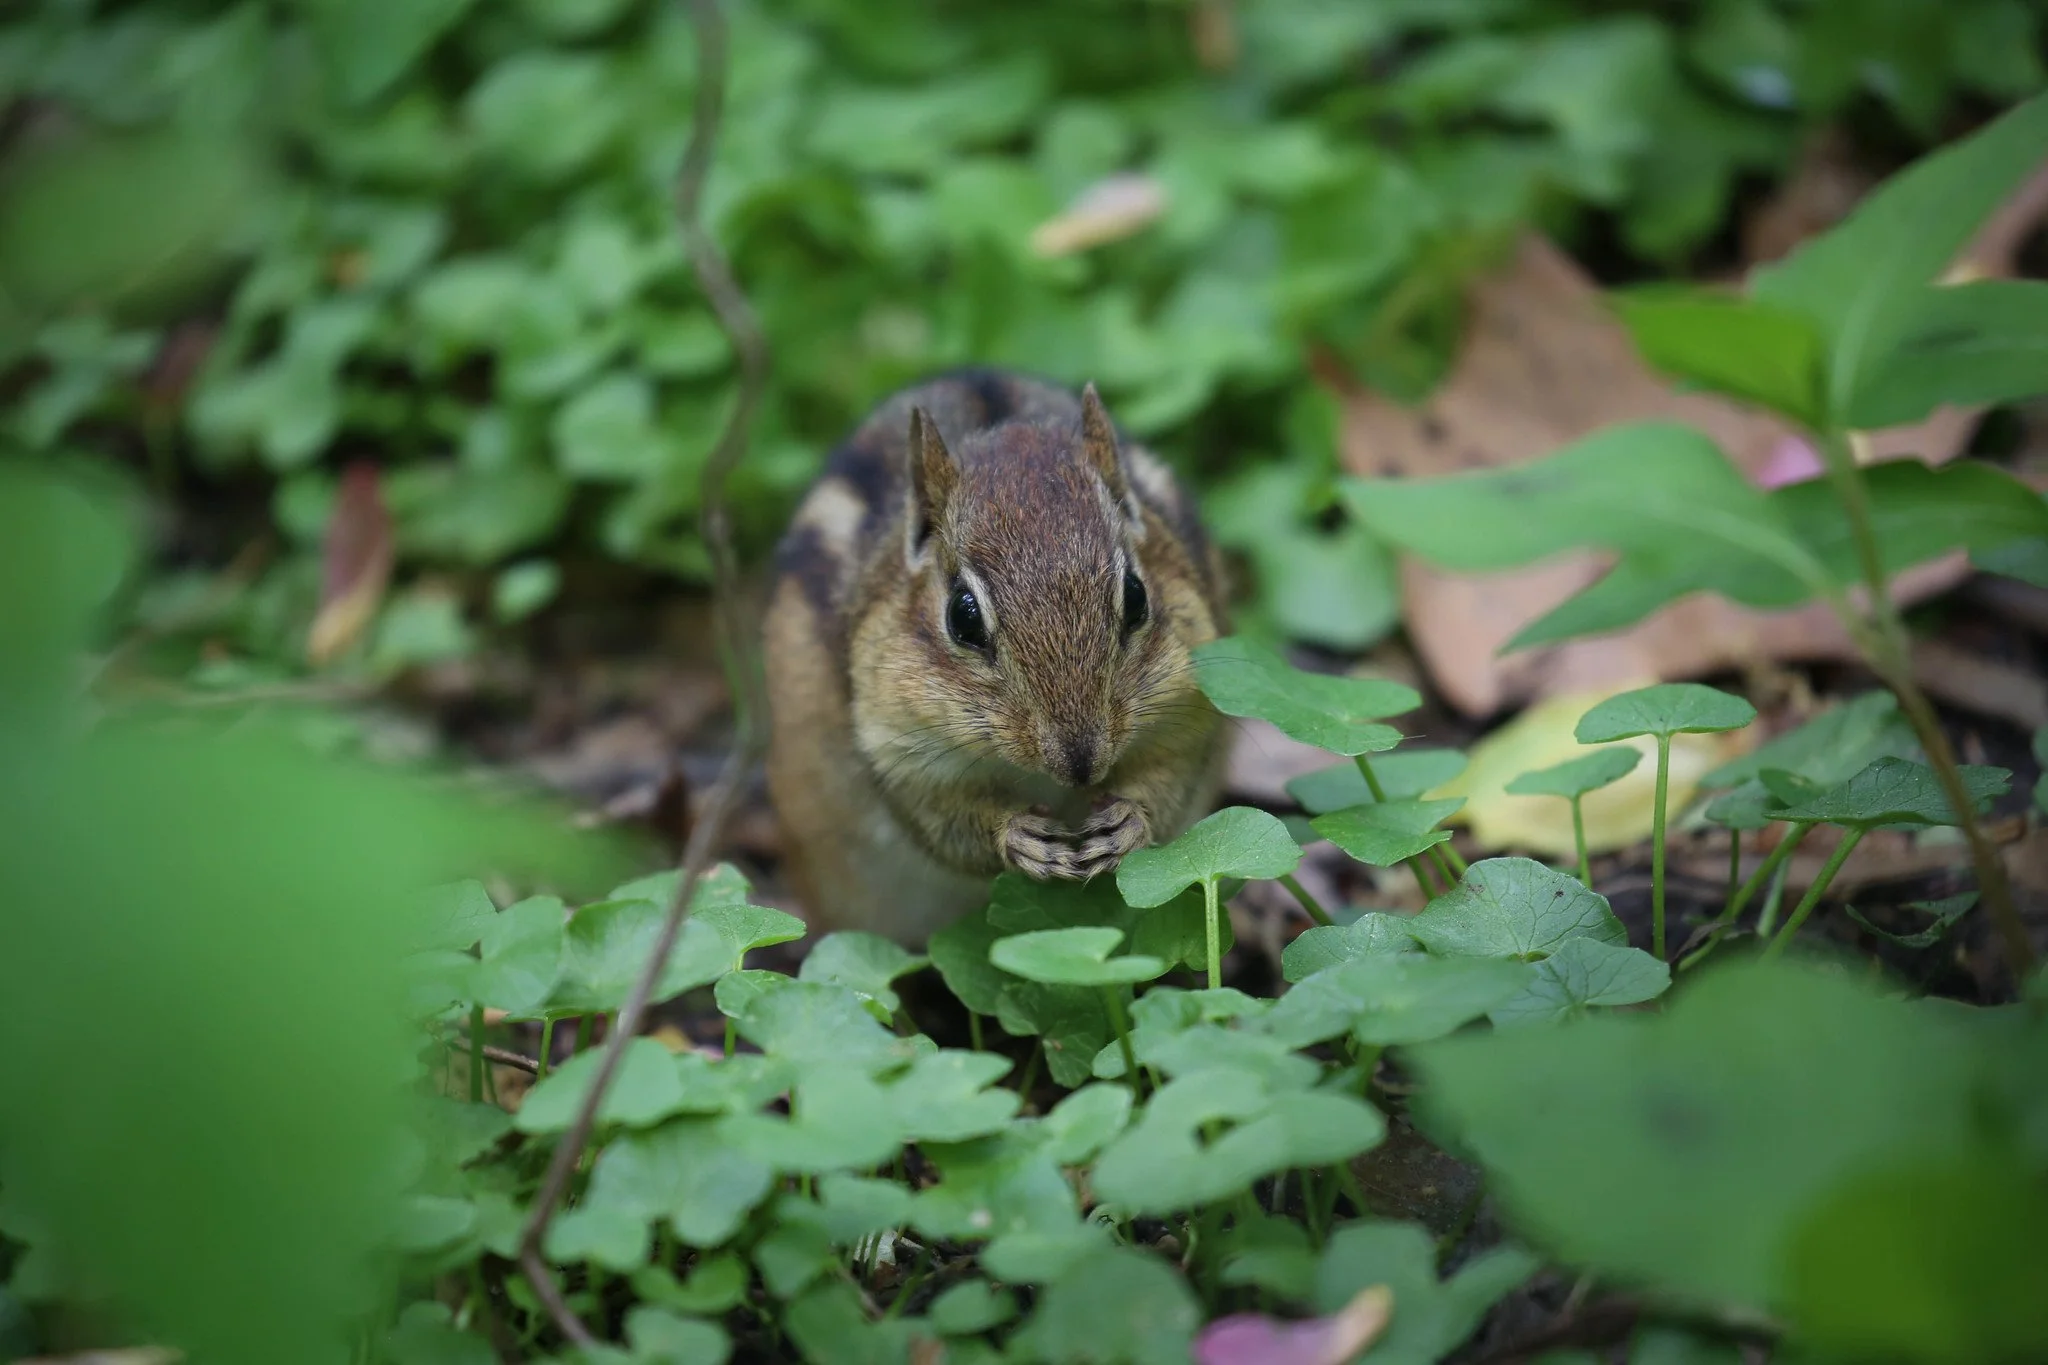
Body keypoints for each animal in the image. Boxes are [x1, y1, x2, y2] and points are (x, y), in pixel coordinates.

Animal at [763, 369, 1231, 946]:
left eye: (1137, 595)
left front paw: (1128, 823)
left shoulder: (1188, 712)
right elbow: (943, 823)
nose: (1081, 765)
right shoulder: (895, 752)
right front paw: (1018, 837)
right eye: (963, 617)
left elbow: (1171, 778)